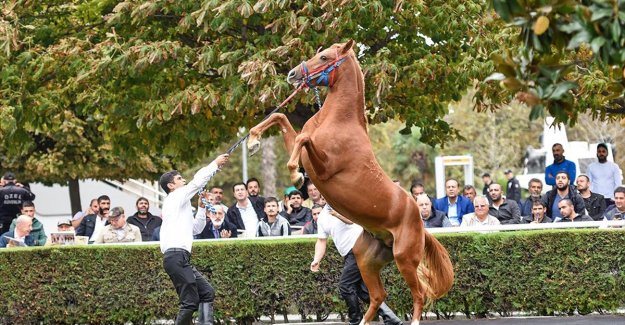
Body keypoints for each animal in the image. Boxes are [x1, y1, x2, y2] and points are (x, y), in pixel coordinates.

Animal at [245, 40, 454, 324]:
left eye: (324, 57)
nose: (292, 74)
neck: (338, 120)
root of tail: (421, 225)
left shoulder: (324, 168)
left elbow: (301, 140)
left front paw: (294, 175)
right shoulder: (309, 158)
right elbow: (282, 120)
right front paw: (252, 141)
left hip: (405, 258)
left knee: (419, 293)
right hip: (367, 260)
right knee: (378, 295)